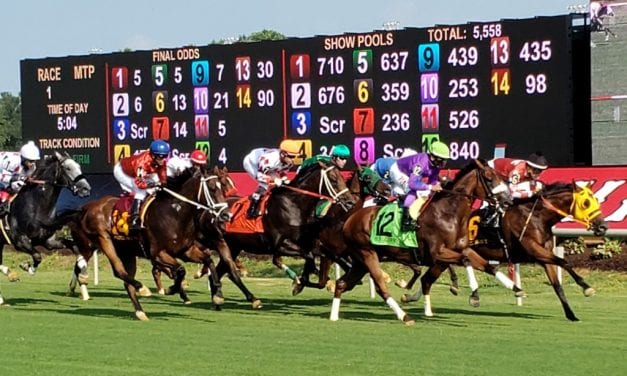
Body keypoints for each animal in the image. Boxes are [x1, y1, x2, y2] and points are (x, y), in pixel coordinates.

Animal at [0, 150, 91, 282]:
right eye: (68, 168)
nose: (86, 188)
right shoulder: (19, 241)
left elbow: (74, 246)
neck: (36, 207)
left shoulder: (48, 240)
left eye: (79, 166)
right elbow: (38, 256)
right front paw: (27, 267)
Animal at [65, 165, 231, 320]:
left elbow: (208, 261)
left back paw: (140, 312)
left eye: (224, 188)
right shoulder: (157, 253)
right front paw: (172, 289)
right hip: (103, 240)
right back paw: (142, 288)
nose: (226, 215)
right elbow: (180, 270)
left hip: (125, 251)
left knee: (123, 279)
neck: (174, 213)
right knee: (118, 270)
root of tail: (83, 209)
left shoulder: (186, 250)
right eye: (212, 188)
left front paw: (218, 295)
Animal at [332, 160, 516, 324]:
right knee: (380, 286)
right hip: (367, 254)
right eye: (489, 178)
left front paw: (515, 287)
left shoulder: (463, 248)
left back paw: (333, 316)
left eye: (502, 177)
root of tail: (350, 219)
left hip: (360, 261)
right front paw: (474, 295)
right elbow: (465, 261)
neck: (448, 213)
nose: (508, 200)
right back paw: (404, 317)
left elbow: (486, 265)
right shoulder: (437, 253)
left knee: (341, 284)